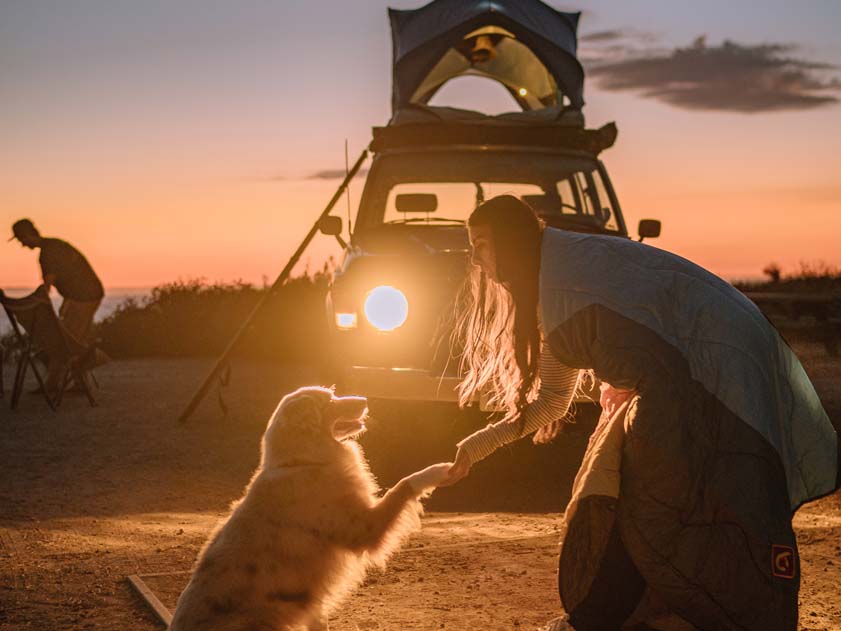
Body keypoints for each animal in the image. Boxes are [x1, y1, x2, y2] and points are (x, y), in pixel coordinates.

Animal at [167, 388, 450, 631]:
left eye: (333, 393)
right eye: (330, 401)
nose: (365, 400)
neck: (303, 462)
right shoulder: (363, 528)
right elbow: (403, 485)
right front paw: (438, 470)